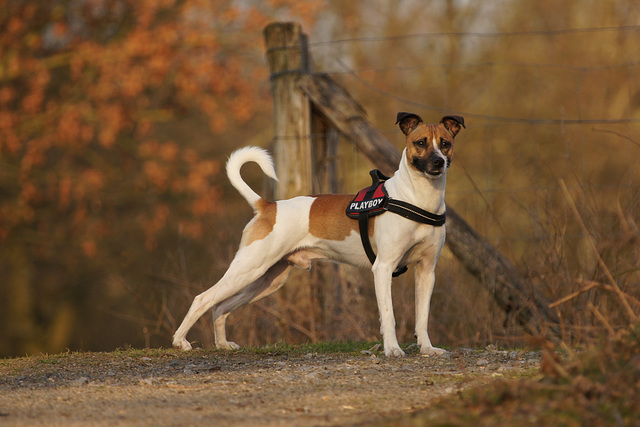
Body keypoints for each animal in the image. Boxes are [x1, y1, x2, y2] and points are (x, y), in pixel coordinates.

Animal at [172, 113, 464, 358]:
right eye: (421, 142)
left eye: (445, 144)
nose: (438, 162)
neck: (416, 198)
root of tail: (267, 206)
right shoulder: (383, 268)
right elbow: (389, 315)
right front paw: (392, 349)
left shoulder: (426, 271)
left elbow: (422, 316)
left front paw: (427, 349)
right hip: (248, 269)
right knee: (203, 299)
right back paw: (180, 342)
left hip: (267, 280)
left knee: (221, 306)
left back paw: (222, 344)